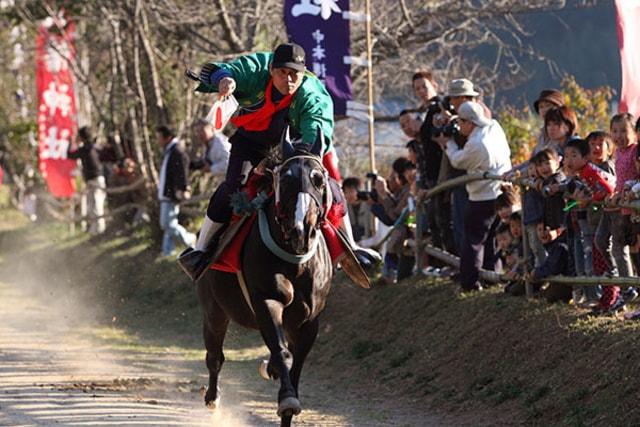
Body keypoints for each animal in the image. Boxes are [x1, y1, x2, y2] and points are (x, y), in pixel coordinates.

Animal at [195, 135, 336, 426]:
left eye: (318, 179)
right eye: (285, 179)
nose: (301, 228)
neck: (296, 261)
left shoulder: (309, 319)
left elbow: (296, 361)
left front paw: (288, 401)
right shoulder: (266, 301)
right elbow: (283, 353)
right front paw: (287, 397)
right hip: (214, 310)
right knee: (214, 356)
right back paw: (212, 397)